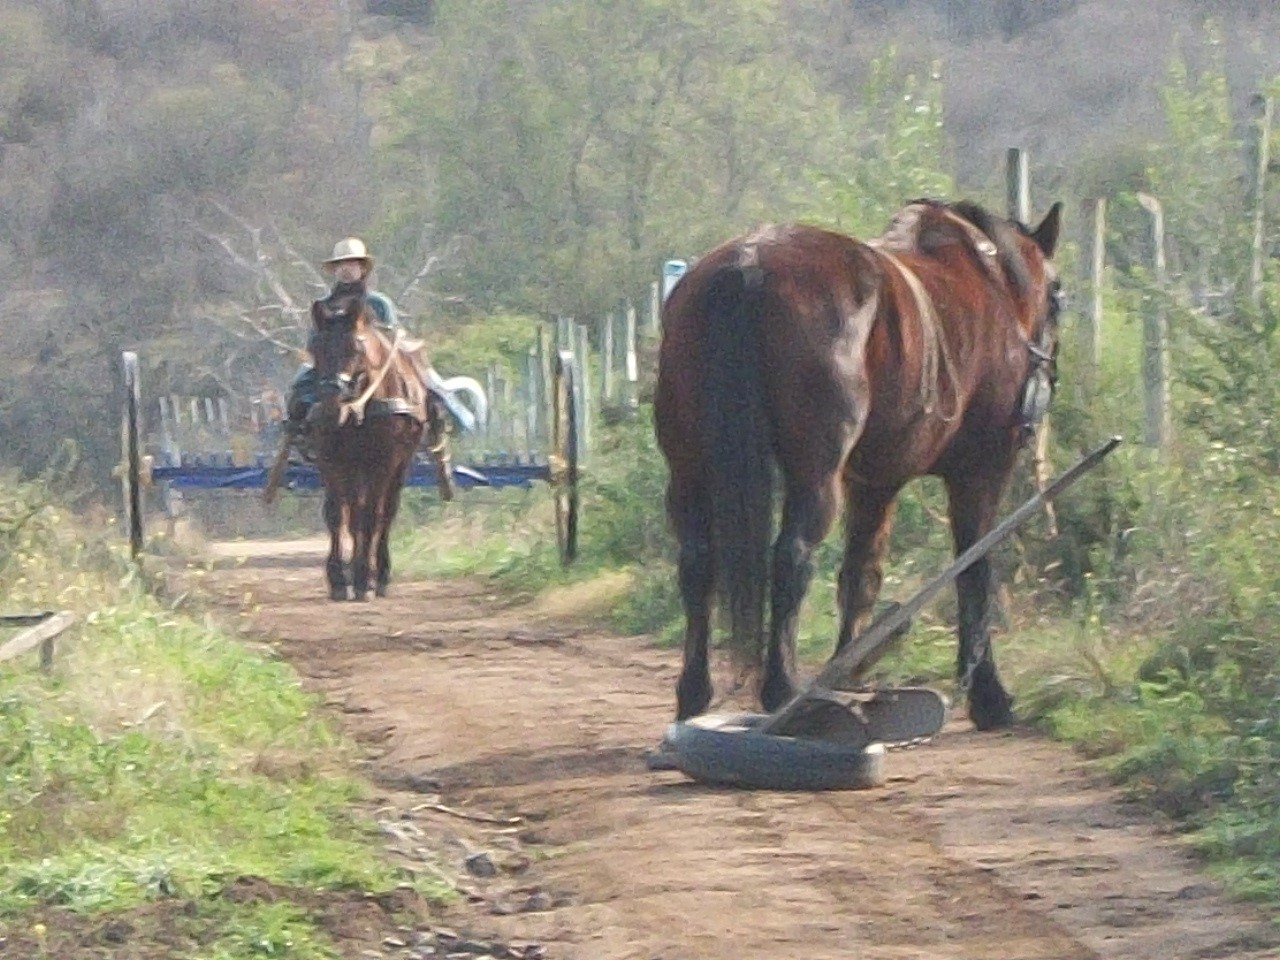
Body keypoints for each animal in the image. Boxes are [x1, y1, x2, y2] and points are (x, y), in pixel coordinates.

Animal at [304, 288, 450, 601]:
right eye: (315, 349)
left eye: (355, 349)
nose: (331, 408)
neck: (361, 407)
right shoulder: (331, 460)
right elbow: (337, 514)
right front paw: (338, 578)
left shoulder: (383, 461)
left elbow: (372, 515)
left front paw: (363, 578)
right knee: (355, 513)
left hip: (398, 465)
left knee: (384, 513)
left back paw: (379, 575)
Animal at [655, 200, 1064, 727]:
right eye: (1057, 300)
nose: (1045, 383)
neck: (991, 286)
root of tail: (749, 264)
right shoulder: (980, 475)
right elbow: (974, 571)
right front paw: (988, 695)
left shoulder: (874, 484)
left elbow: (861, 575)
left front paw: (847, 671)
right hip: (815, 476)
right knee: (791, 558)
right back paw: (782, 690)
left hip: (687, 470)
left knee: (697, 564)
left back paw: (695, 691)